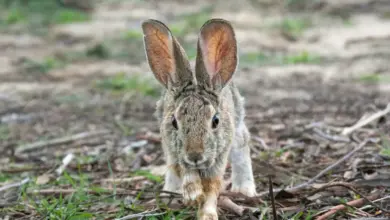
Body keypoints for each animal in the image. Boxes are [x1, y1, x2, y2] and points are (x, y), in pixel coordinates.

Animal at [141, 18, 256, 219]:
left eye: (215, 121)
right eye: (174, 122)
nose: (195, 155)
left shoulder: (219, 157)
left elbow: (212, 189)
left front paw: (207, 213)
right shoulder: (176, 152)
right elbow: (185, 172)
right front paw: (192, 194)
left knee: (242, 145)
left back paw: (245, 189)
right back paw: (171, 193)